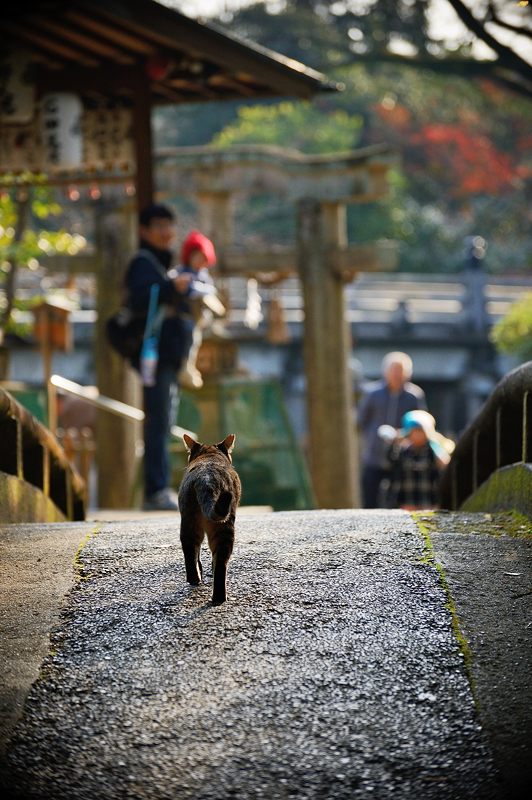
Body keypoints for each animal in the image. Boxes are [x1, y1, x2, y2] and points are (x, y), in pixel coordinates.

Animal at [179, 434, 241, 604]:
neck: (210, 455)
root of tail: (207, 480)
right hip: (225, 525)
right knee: (220, 563)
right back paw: (219, 597)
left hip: (189, 522)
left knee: (190, 552)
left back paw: (195, 580)